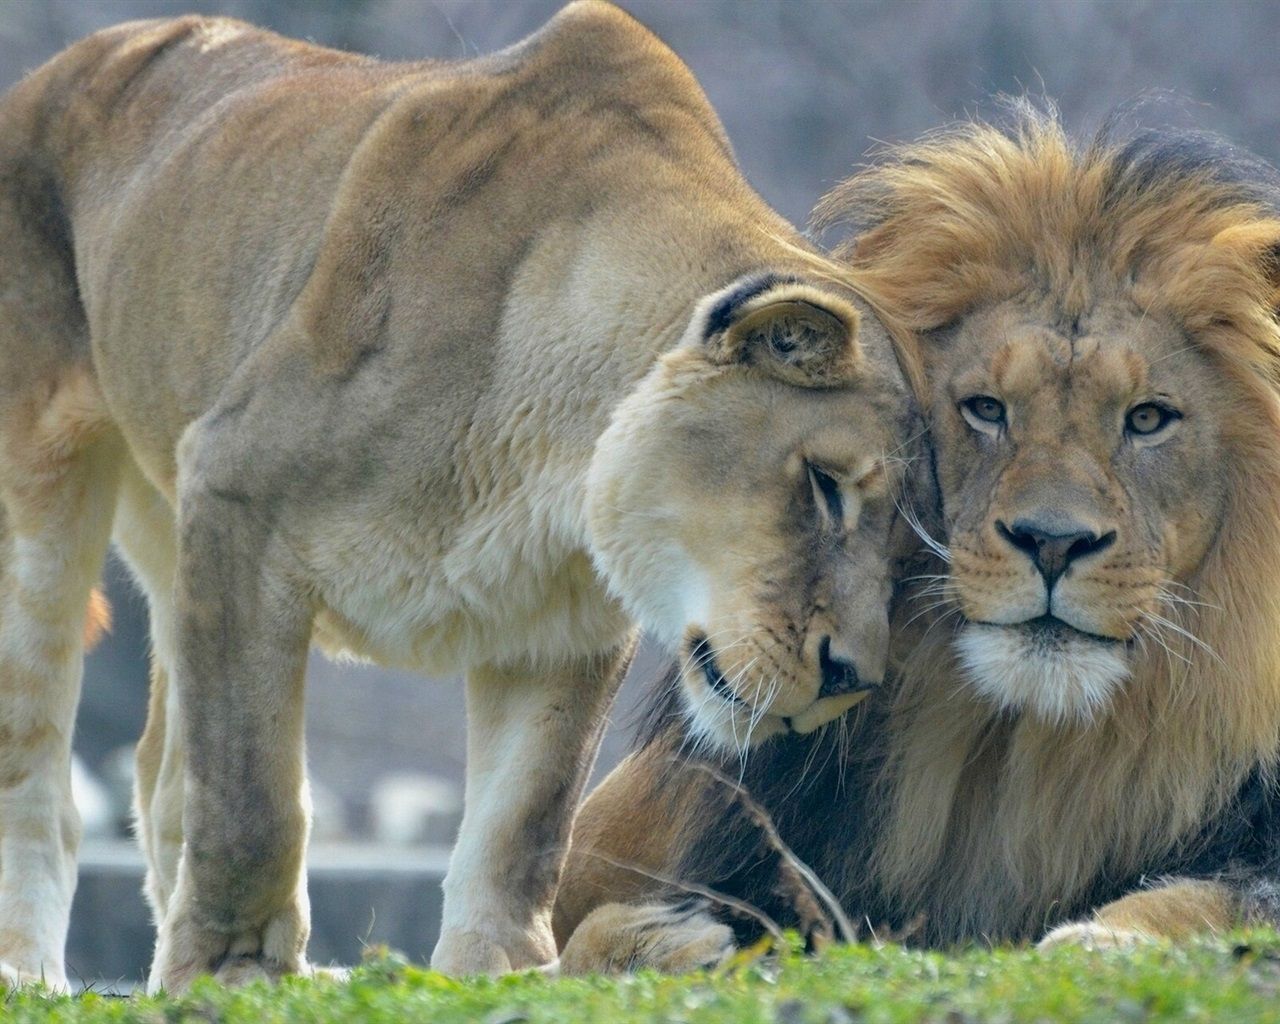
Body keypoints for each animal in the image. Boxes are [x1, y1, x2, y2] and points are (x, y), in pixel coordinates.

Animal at [0, 0, 919, 992]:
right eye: (825, 487)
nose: (853, 677)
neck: (552, 445)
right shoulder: (235, 490)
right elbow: (252, 799)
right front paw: (235, 973)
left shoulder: (566, 617)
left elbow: (526, 817)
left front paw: (505, 969)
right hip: (42, 508)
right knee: (42, 767)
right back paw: (31, 970)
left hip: (173, 530)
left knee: (162, 770)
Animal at [553, 105, 1280, 971]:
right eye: (987, 409)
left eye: (1147, 419)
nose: (1052, 542)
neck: (1018, 752)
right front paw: (673, 940)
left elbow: (1218, 899)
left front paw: (1102, 941)